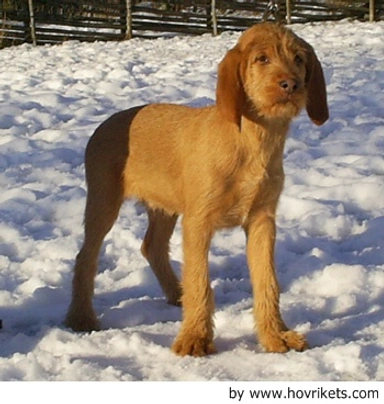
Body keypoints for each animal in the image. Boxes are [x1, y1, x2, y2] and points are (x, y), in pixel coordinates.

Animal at [64, 22, 328, 356]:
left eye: (298, 59)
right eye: (262, 59)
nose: (290, 85)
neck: (250, 141)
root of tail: (107, 122)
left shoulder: (262, 220)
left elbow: (267, 281)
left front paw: (275, 334)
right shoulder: (198, 222)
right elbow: (200, 281)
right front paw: (195, 338)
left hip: (164, 206)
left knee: (152, 246)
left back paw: (176, 294)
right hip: (103, 201)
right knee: (86, 256)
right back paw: (81, 317)